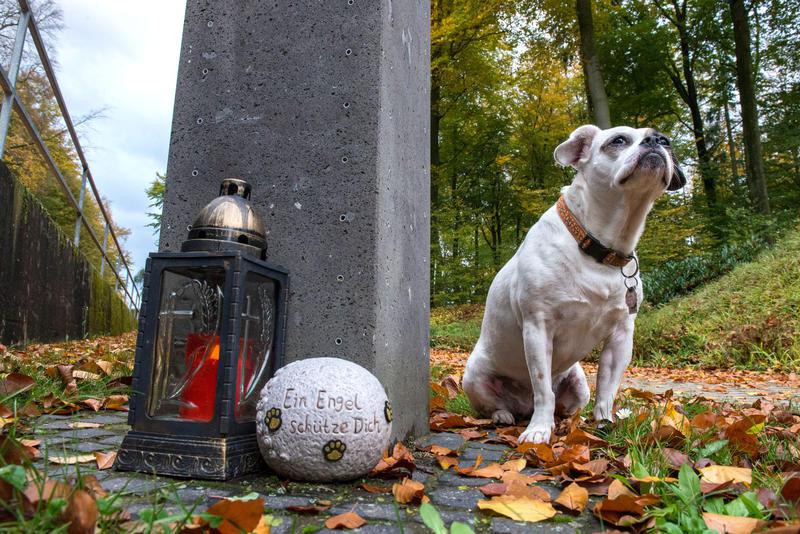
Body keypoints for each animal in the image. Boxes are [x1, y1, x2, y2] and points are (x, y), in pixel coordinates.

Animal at [462, 124, 688, 444]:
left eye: (666, 140)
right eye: (618, 140)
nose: (658, 141)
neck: (600, 248)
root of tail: (523, 406)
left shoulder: (621, 337)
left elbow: (607, 387)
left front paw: (604, 421)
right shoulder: (538, 328)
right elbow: (543, 387)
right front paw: (538, 430)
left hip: (578, 383)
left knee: (566, 404)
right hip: (474, 376)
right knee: (500, 404)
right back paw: (505, 415)